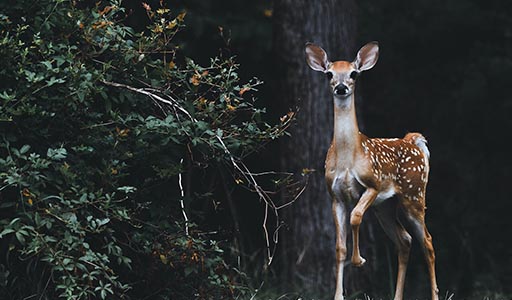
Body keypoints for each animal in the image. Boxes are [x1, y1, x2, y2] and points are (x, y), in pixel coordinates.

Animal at [306, 41, 438, 300]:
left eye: (354, 73)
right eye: (329, 74)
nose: (341, 87)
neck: (348, 158)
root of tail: (413, 141)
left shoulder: (373, 184)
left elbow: (356, 216)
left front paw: (359, 260)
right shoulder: (335, 195)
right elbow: (339, 247)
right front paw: (338, 295)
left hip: (414, 195)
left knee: (427, 242)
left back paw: (435, 295)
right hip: (385, 207)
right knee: (404, 240)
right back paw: (397, 296)